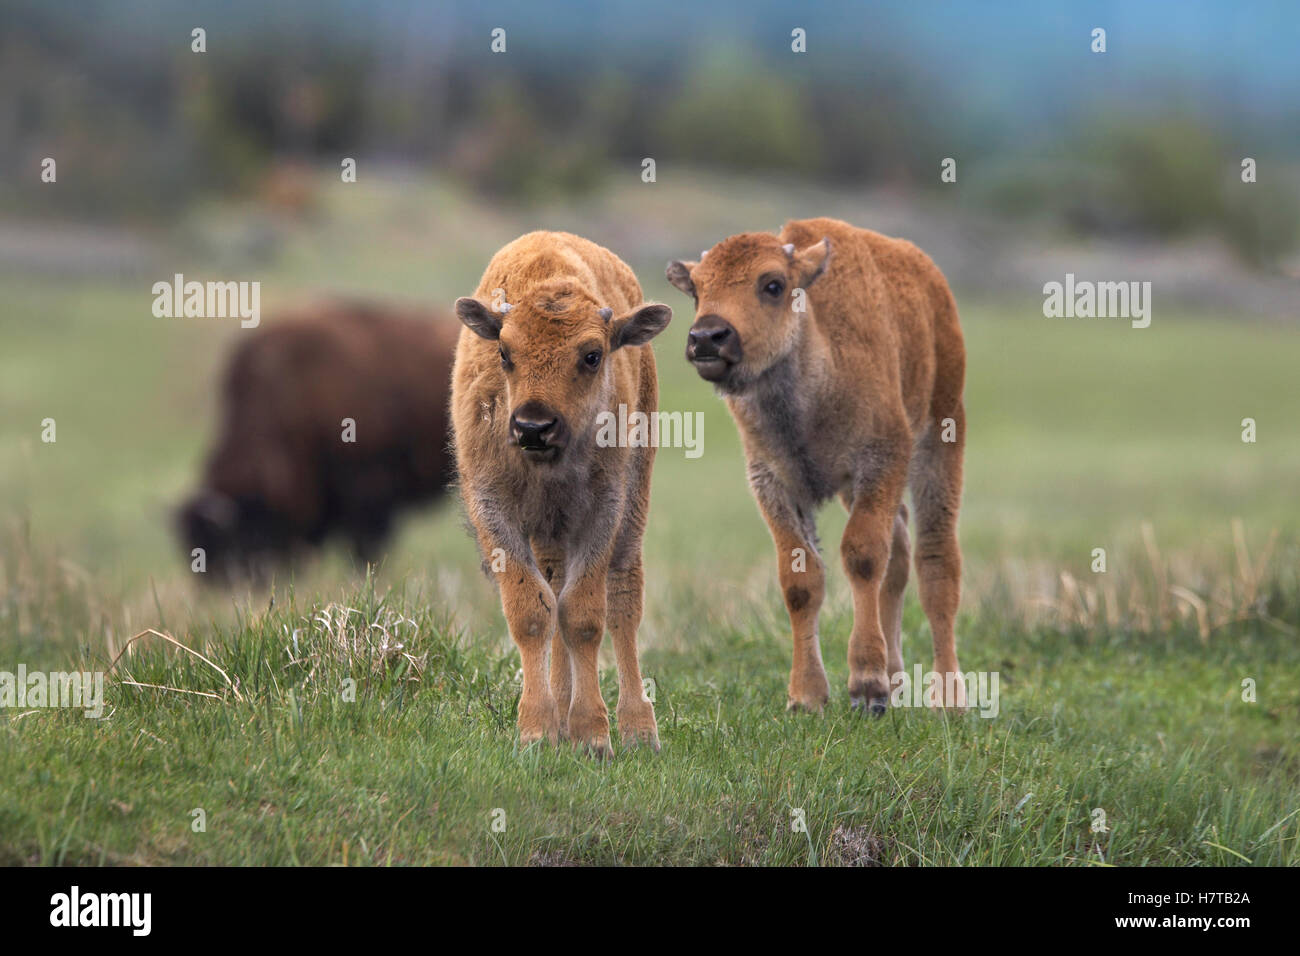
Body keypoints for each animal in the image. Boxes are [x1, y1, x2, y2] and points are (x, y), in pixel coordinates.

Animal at [451, 231, 672, 756]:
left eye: (592, 355)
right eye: (504, 352)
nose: (533, 426)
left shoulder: (602, 511)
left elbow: (584, 616)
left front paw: (593, 735)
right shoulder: (494, 508)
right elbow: (533, 612)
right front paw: (537, 730)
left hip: (634, 502)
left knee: (624, 598)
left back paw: (639, 729)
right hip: (551, 532)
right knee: (553, 591)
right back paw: (562, 716)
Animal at [667, 216, 967, 715]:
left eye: (772, 284)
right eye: (698, 289)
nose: (707, 337)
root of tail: (932, 278)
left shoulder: (881, 460)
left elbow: (862, 556)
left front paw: (866, 687)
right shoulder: (774, 482)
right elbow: (801, 578)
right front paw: (807, 696)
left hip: (940, 436)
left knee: (935, 559)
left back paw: (948, 698)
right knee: (901, 551)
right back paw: (897, 679)